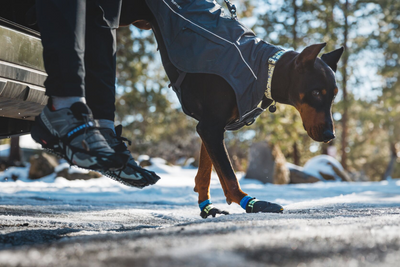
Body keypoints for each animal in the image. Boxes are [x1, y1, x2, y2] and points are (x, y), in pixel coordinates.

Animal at [119, 0, 344, 218]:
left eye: (334, 94)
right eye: (316, 92)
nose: (330, 135)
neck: (265, 71)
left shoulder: (210, 127)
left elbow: (206, 171)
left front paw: (206, 206)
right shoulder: (210, 127)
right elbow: (229, 175)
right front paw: (250, 203)